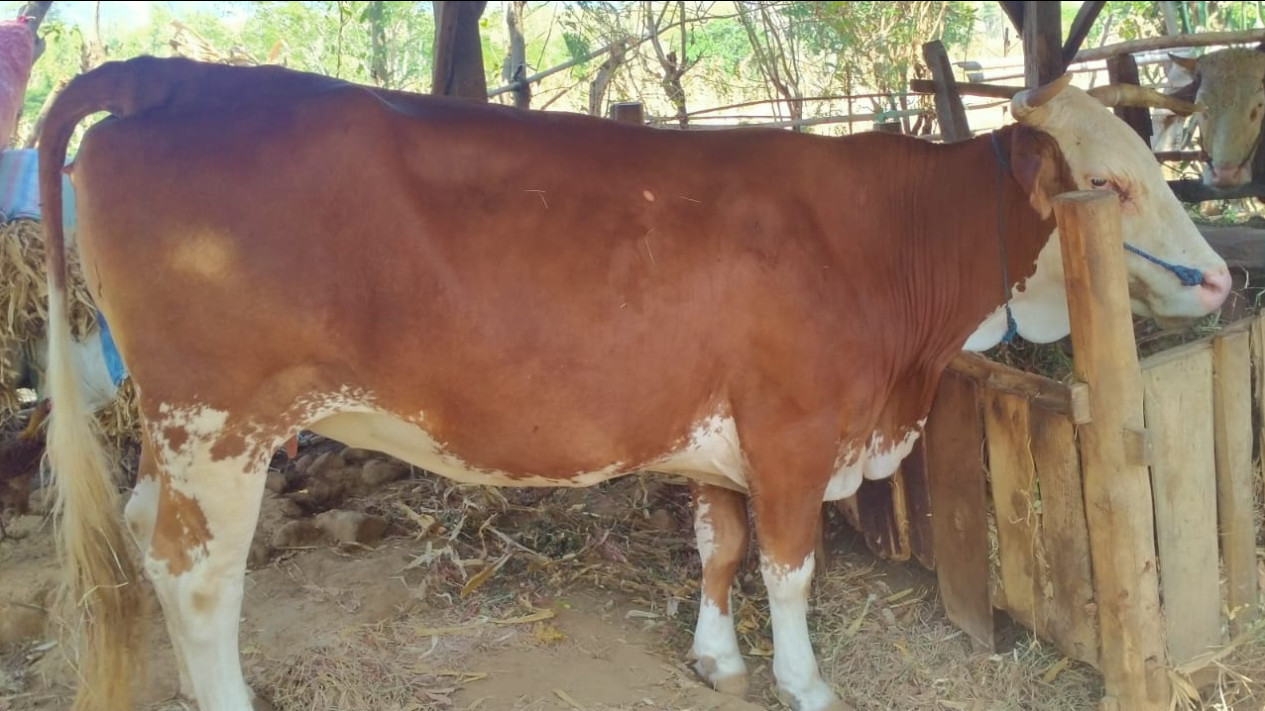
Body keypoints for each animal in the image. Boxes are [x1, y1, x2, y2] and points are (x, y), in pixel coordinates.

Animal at [37, 58, 1224, 708]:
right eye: (1109, 185)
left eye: (1154, 165)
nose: (1217, 276)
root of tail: (172, 73)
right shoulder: (795, 431)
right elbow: (788, 568)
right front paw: (802, 681)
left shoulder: (720, 433)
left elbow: (718, 546)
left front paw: (715, 659)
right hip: (221, 424)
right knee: (195, 571)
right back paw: (229, 695)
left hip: (182, 435)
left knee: (145, 533)